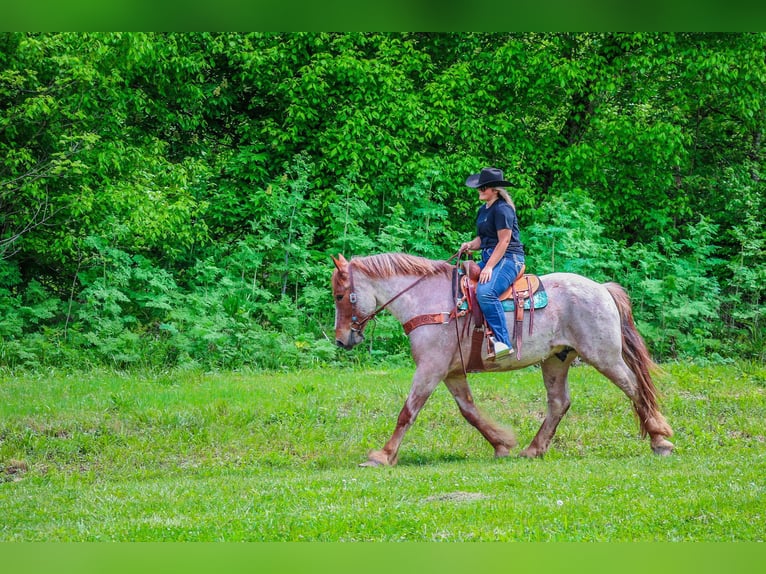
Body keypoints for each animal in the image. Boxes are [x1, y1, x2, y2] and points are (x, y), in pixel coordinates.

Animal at [332, 252, 676, 468]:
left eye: (339, 295)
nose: (341, 339)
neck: (430, 303)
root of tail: (603, 289)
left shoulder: (430, 368)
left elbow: (407, 412)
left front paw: (382, 456)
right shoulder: (451, 372)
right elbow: (469, 411)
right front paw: (502, 444)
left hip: (605, 357)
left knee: (635, 387)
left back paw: (660, 441)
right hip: (556, 360)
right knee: (559, 402)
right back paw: (533, 449)